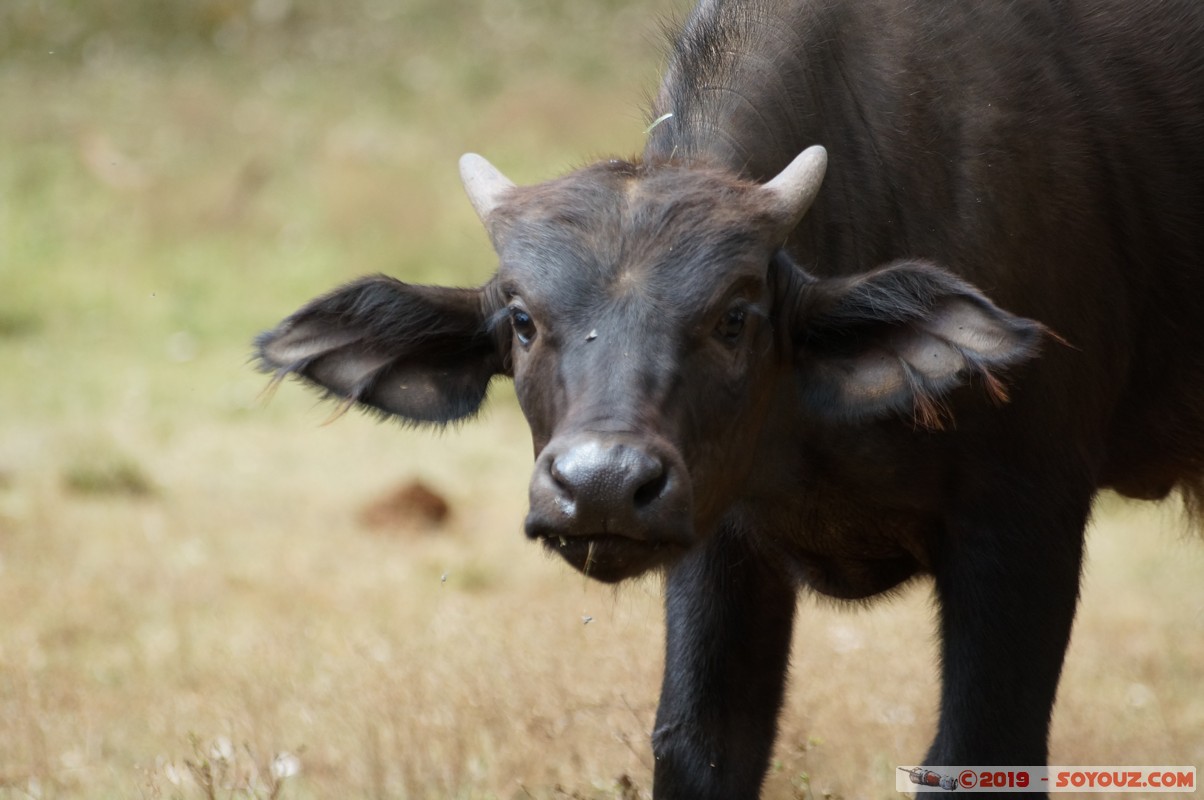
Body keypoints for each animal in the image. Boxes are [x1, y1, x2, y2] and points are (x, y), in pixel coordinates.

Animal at [256, 3, 1204, 795]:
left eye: (736, 315)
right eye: (522, 319)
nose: (601, 485)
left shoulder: (1026, 514)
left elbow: (978, 751)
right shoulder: (721, 538)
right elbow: (701, 744)